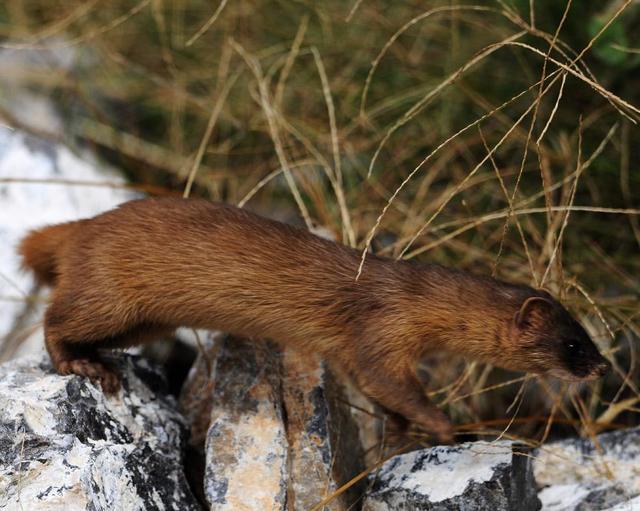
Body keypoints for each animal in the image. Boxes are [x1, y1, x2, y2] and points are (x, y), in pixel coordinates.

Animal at [18, 197, 608, 444]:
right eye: (572, 345)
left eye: (587, 334)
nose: (602, 367)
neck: (410, 293)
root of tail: (83, 226)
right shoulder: (381, 332)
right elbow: (388, 379)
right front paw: (444, 426)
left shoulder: (360, 353)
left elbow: (378, 391)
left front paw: (398, 427)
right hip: (109, 294)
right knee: (56, 317)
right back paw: (84, 365)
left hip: (144, 321)